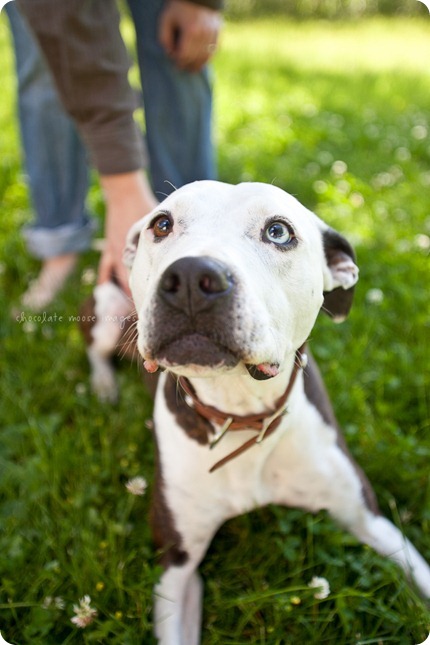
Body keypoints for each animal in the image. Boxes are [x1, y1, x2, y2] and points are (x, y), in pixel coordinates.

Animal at [88, 181, 430, 644]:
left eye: (278, 232)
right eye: (162, 224)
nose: (192, 277)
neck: (242, 409)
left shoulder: (370, 519)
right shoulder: (175, 568)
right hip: (106, 312)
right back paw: (104, 386)